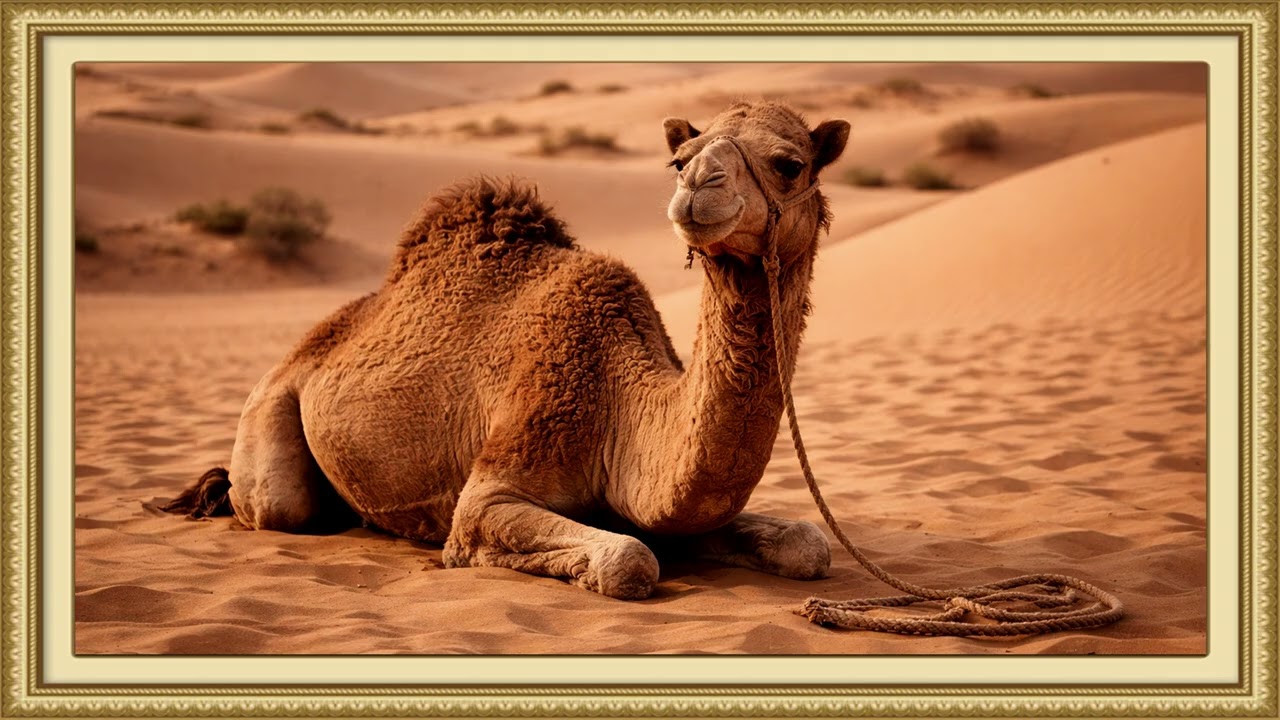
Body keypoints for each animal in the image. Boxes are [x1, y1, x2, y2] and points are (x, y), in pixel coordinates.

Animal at [165, 101, 850, 600]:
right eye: (677, 161)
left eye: (788, 163)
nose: (698, 186)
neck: (620, 403)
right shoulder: (495, 483)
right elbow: (628, 558)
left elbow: (807, 543)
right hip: (269, 415)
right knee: (274, 504)